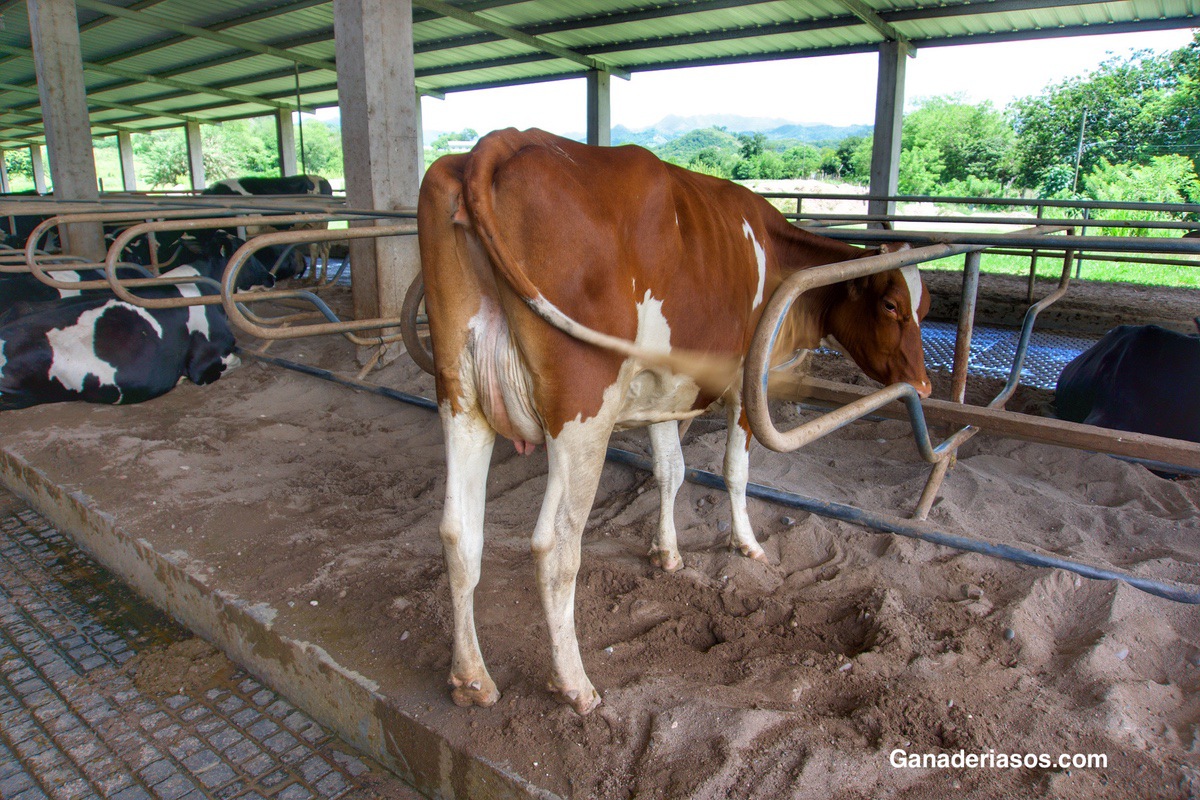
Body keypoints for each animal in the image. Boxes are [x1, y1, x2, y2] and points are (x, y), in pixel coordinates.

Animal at [418, 128, 932, 714]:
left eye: (926, 307)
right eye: (891, 305)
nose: (923, 386)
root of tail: (502, 141)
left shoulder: (664, 388)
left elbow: (671, 470)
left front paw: (666, 552)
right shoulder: (744, 386)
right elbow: (735, 472)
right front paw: (746, 544)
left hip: (460, 400)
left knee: (459, 532)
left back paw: (470, 677)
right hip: (581, 414)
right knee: (555, 546)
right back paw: (575, 683)